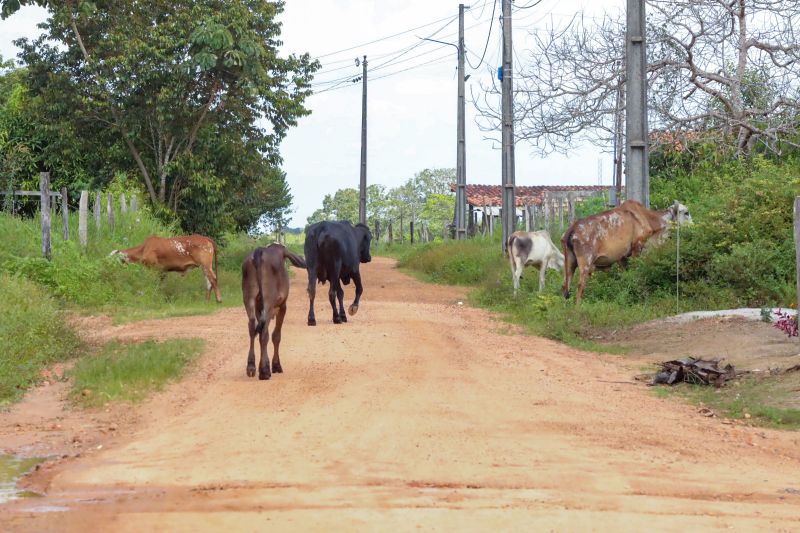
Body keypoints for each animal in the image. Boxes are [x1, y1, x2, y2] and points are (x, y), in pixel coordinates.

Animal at [241, 243, 306, 380]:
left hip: (249, 299)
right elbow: (276, 336)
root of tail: (259, 252)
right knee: (265, 333)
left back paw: (251, 366)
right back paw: (265, 371)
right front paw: (275, 365)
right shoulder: (282, 306)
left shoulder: (258, 308)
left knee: (252, 328)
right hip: (269, 303)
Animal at [560, 200, 692, 304]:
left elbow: (626, 276)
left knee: (565, 286)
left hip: (570, 263)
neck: (649, 219)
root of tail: (571, 229)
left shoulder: (622, 257)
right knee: (580, 285)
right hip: (585, 263)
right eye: (686, 212)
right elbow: (636, 273)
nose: (693, 226)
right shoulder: (637, 248)